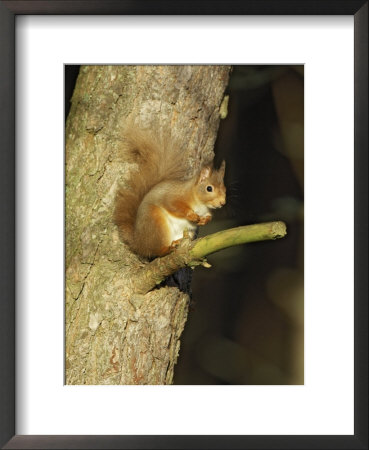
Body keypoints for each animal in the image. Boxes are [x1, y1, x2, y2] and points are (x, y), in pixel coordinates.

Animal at [113, 128, 226, 258]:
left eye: (225, 189)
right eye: (209, 188)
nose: (223, 202)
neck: (200, 203)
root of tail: (138, 242)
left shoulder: (206, 211)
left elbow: (208, 217)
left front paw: (204, 220)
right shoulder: (174, 196)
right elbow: (174, 205)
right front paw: (191, 215)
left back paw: (176, 242)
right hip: (156, 222)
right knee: (156, 250)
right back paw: (168, 248)